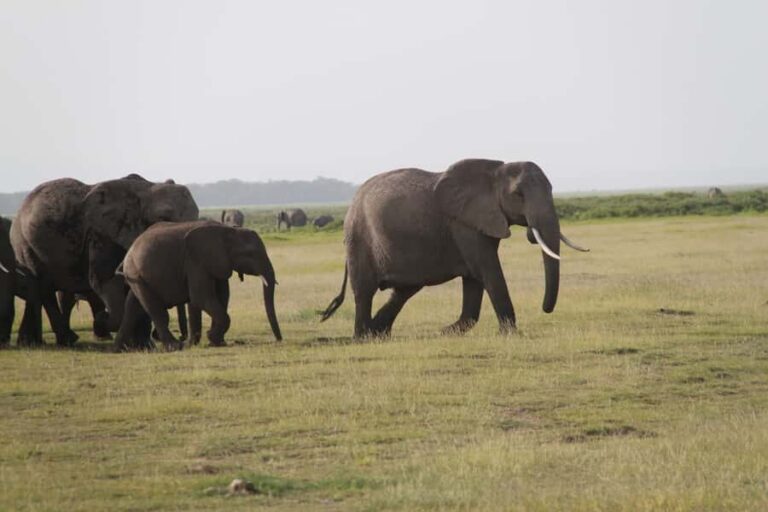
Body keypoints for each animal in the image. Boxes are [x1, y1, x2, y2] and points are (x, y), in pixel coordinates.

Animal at [10, 174, 199, 346]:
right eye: (163, 219)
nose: (183, 339)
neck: (145, 190)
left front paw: (143, 345)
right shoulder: (101, 236)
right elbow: (105, 280)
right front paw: (103, 321)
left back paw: (30, 342)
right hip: (25, 245)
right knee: (44, 288)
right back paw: (67, 340)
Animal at [114, 220, 282, 351]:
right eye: (250, 254)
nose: (279, 340)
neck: (227, 230)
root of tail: (129, 251)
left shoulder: (216, 262)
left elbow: (218, 297)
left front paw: (213, 342)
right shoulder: (196, 260)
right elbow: (201, 297)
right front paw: (211, 338)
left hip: (136, 275)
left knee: (132, 307)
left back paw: (120, 349)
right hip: (135, 272)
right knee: (156, 311)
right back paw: (175, 347)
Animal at [320, 159, 589, 338]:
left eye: (553, 189)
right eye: (518, 194)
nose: (545, 309)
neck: (494, 172)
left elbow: (475, 277)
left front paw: (447, 331)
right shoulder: (463, 224)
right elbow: (487, 269)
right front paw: (509, 333)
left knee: (404, 290)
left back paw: (378, 333)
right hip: (358, 238)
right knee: (364, 291)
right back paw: (363, 336)